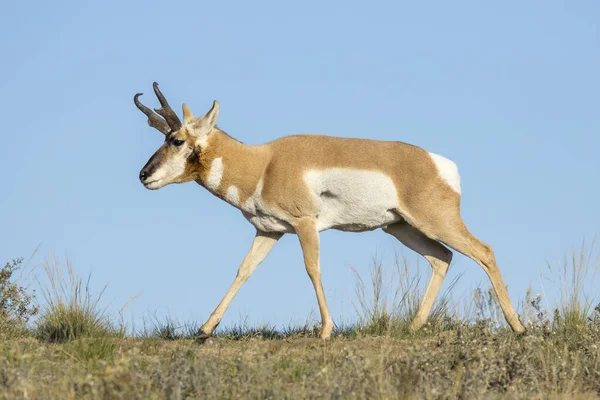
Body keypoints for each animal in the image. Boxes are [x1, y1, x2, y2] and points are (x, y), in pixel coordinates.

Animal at [135, 83, 524, 340]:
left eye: (177, 140)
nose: (143, 175)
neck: (264, 163)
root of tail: (439, 163)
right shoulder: (269, 231)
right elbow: (244, 270)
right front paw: (204, 329)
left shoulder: (305, 224)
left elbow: (312, 268)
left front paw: (325, 331)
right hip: (401, 228)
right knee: (442, 258)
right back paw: (414, 326)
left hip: (436, 222)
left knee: (484, 251)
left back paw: (518, 327)